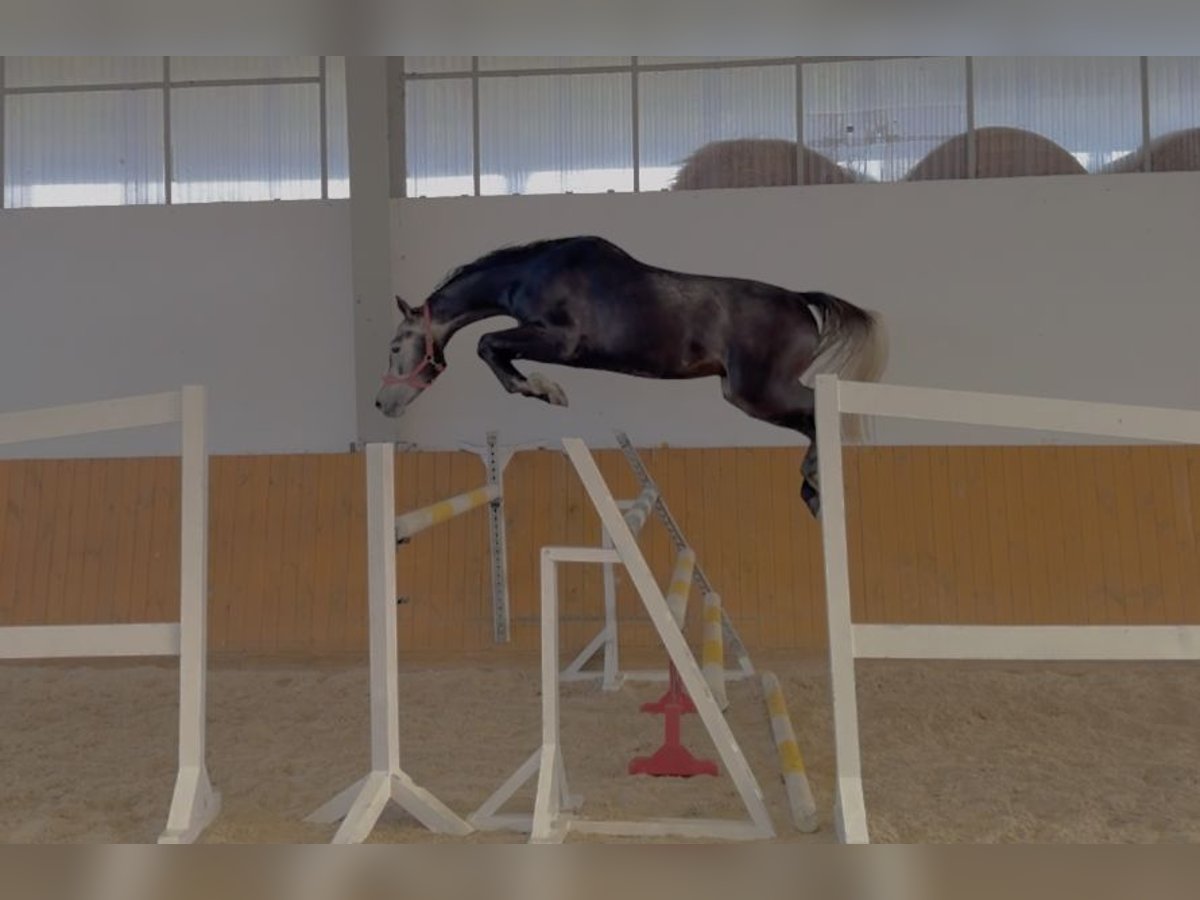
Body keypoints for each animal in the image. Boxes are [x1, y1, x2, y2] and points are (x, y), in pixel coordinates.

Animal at [374, 232, 892, 518]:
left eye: (396, 347)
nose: (382, 403)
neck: (529, 274)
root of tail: (801, 301)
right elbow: (492, 348)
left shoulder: (560, 341)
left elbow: (487, 345)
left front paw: (545, 390)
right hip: (750, 392)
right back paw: (812, 489)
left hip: (759, 392)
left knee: (818, 414)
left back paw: (815, 483)